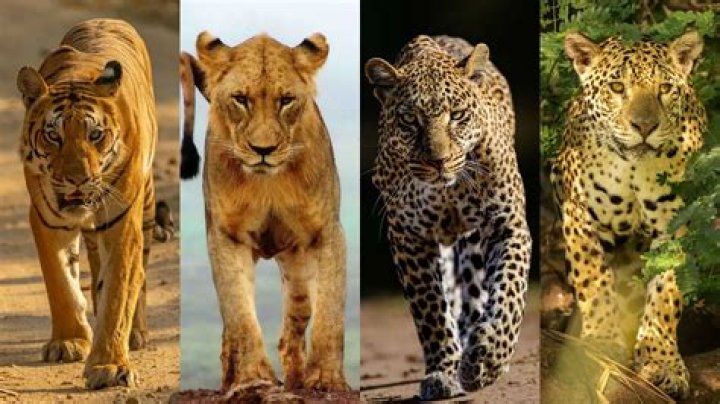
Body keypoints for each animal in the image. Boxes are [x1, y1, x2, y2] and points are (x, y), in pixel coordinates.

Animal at [365, 35, 532, 400]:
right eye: (410, 120)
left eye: (457, 116)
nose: (438, 161)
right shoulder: (409, 237)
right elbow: (431, 310)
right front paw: (443, 370)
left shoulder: (507, 226)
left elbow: (508, 294)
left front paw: (489, 357)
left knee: (475, 294)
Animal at [550, 30, 706, 398]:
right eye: (617, 87)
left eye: (665, 88)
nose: (644, 126)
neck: (634, 169)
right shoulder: (579, 213)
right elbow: (593, 280)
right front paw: (601, 342)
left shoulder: (676, 227)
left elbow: (666, 293)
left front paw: (663, 362)